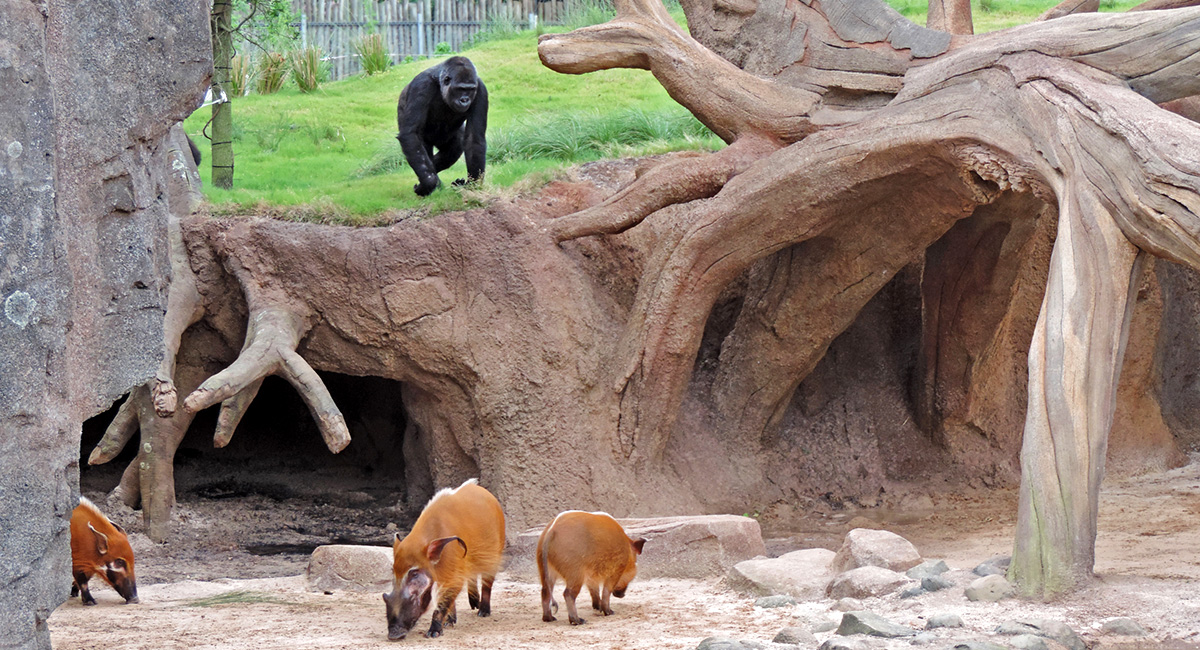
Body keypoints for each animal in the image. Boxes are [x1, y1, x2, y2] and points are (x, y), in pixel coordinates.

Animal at [396, 56, 484, 197]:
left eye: (470, 90)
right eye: (460, 89)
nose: (465, 100)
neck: (440, 81)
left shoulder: (480, 89)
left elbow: (474, 138)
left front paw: (472, 185)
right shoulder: (421, 85)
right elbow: (411, 134)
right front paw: (428, 183)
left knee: (453, 149)